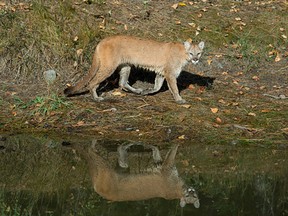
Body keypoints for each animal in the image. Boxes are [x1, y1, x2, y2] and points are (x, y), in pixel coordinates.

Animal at [64, 35, 204, 104]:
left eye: (199, 53)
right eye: (191, 53)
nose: (196, 59)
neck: (183, 54)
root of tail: (102, 41)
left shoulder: (162, 73)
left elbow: (157, 86)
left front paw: (148, 91)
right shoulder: (170, 74)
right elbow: (174, 88)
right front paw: (179, 100)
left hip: (126, 66)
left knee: (122, 82)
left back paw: (137, 91)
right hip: (109, 67)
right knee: (93, 82)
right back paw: (96, 98)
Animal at [70, 141, 200, 208]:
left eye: (193, 197)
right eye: (189, 196)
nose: (191, 191)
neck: (179, 190)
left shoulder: (164, 167)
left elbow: (160, 156)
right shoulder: (167, 168)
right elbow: (169, 153)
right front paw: (177, 141)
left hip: (116, 168)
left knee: (117, 153)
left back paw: (124, 145)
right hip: (105, 167)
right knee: (90, 151)